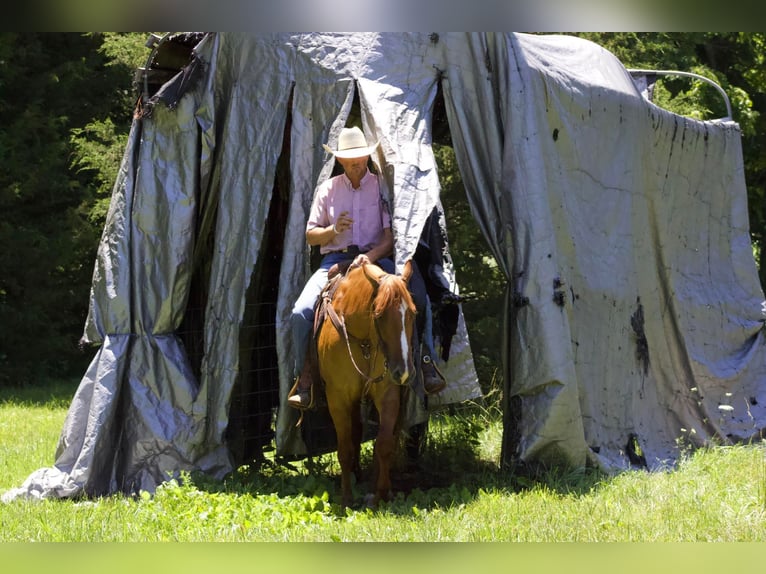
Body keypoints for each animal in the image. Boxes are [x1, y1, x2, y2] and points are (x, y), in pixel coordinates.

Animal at [316, 260, 416, 508]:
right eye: (378, 315)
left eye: (413, 313)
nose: (403, 372)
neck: (364, 342)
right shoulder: (337, 398)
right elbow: (344, 449)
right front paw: (347, 498)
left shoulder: (388, 395)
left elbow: (384, 445)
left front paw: (381, 494)